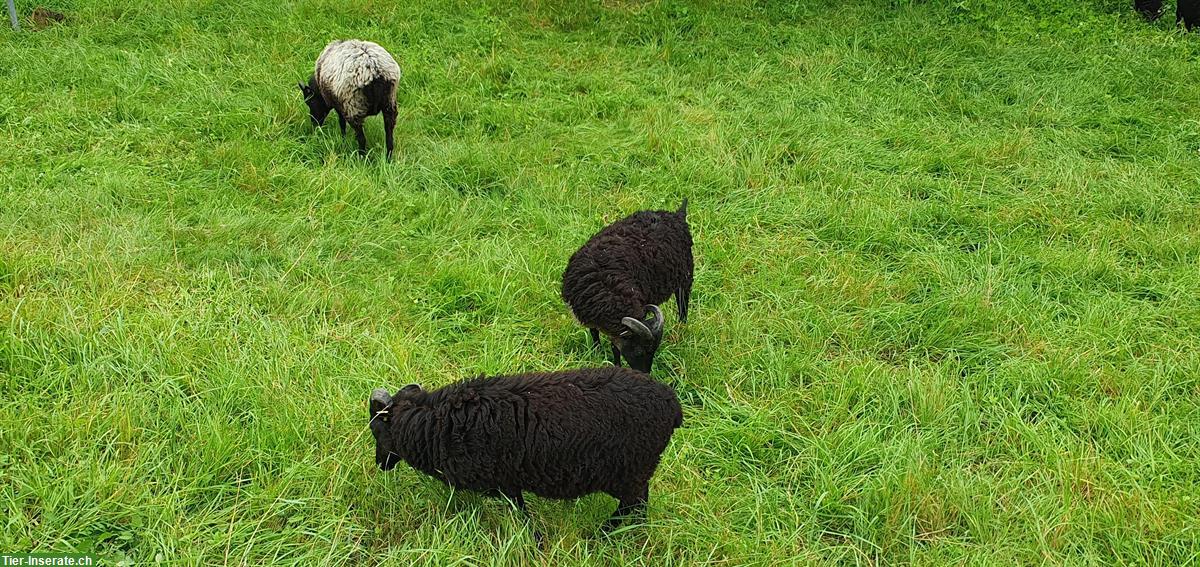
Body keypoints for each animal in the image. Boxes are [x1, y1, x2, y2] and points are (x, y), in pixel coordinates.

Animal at [364, 365, 686, 533]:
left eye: (376, 429)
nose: (380, 465)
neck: (438, 422)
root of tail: (673, 403)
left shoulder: (506, 483)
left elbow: (522, 516)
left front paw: (535, 541)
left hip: (630, 471)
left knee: (634, 506)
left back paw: (603, 536)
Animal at [561, 197, 696, 374]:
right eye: (639, 351)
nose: (644, 374)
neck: (609, 289)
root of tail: (677, 215)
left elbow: (614, 346)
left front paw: (615, 365)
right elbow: (594, 333)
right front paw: (597, 351)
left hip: (686, 275)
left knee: (683, 304)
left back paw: (681, 326)